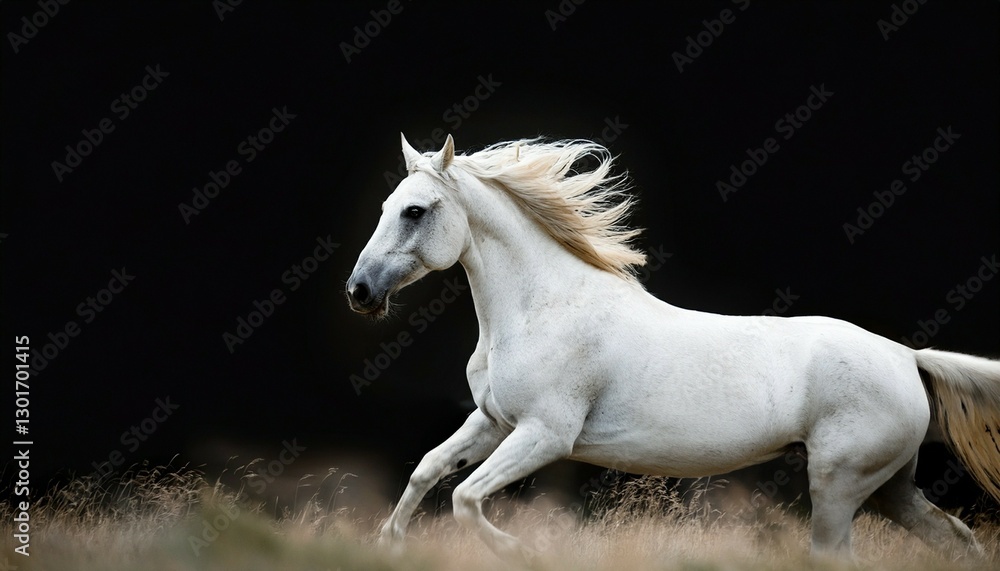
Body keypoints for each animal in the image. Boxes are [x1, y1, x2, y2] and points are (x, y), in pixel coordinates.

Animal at [346, 134, 1000, 563]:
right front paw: (390, 544)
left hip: (839, 486)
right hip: (889, 486)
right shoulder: (493, 421)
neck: (542, 308)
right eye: (383, 207)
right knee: (956, 540)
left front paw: (519, 551)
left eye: (415, 210)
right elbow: (429, 471)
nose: (359, 292)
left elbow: (464, 497)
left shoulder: (545, 434)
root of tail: (906, 357)